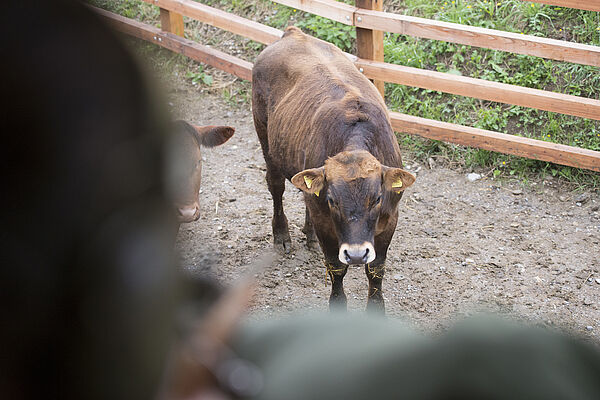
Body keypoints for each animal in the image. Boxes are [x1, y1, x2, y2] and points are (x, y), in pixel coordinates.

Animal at [251, 27, 414, 312]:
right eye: (332, 200)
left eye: (377, 199)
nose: (357, 254)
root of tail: (293, 33)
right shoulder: (325, 220)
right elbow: (337, 268)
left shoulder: (390, 217)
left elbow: (376, 270)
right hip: (264, 135)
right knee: (276, 186)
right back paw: (281, 235)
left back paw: (309, 236)